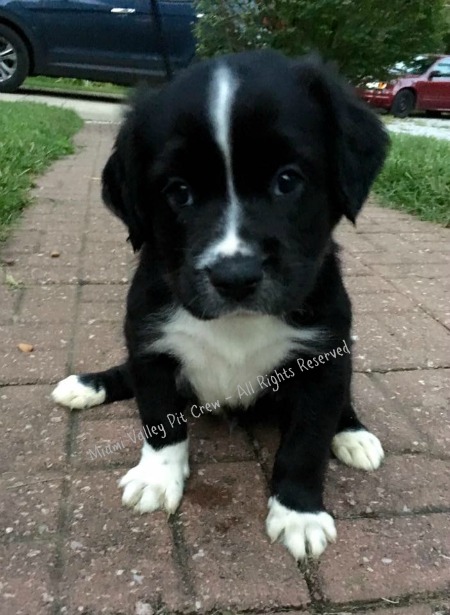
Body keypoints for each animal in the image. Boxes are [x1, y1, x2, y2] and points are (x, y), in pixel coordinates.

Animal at [52, 50, 388, 560]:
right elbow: (159, 416)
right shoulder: (149, 341)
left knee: (342, 405)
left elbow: (308, 440)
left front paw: (299, 513)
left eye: (287, 180)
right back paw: (88, 384)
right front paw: (157, 478)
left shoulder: (325, 356)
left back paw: (353, 434)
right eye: (178, 191)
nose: (235, 277)